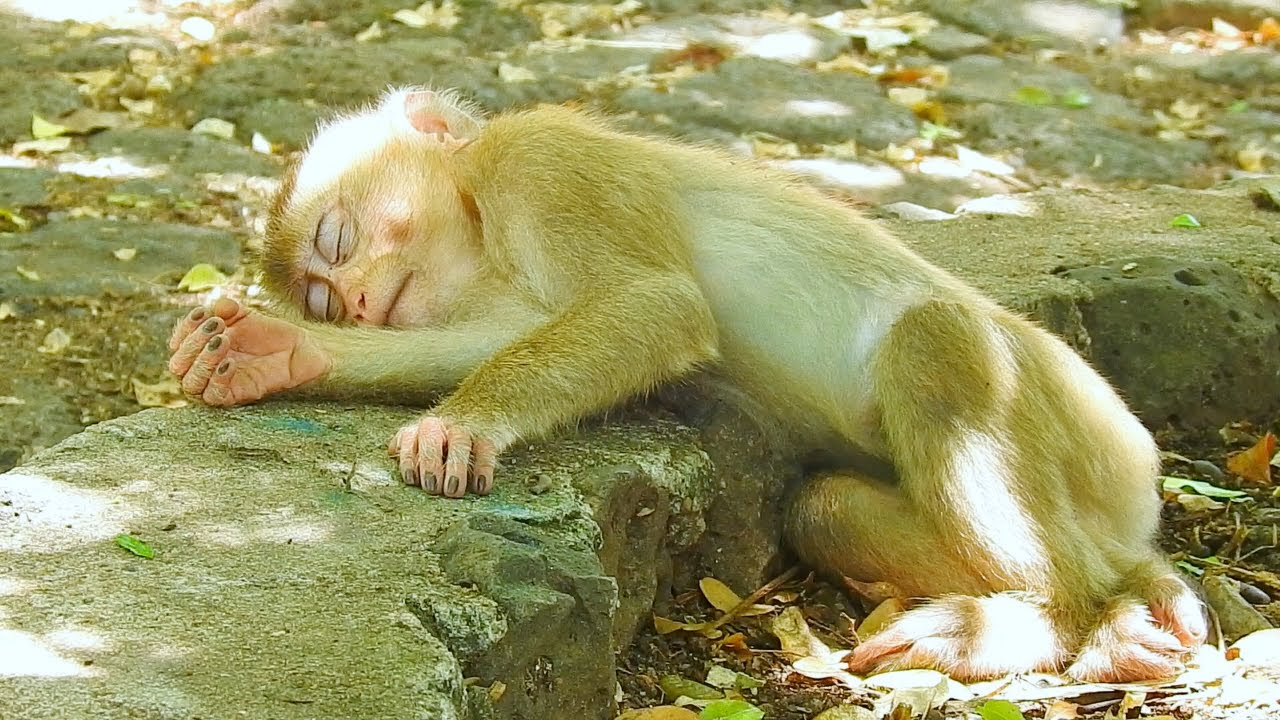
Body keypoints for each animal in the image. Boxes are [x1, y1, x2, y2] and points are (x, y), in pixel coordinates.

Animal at [167, 87, 1207, 683]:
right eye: (319, 294)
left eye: (335, 242)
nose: (350, 302)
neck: (483, 220)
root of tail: (1136, 502)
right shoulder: (493, 283)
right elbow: (514, 334)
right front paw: (273, 350)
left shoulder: (545, 164)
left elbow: (656, 305)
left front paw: (465, 421)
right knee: (825, 506)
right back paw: (1112, 610)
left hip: (1079, 420)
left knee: (935, 344)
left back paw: (1047, 621)